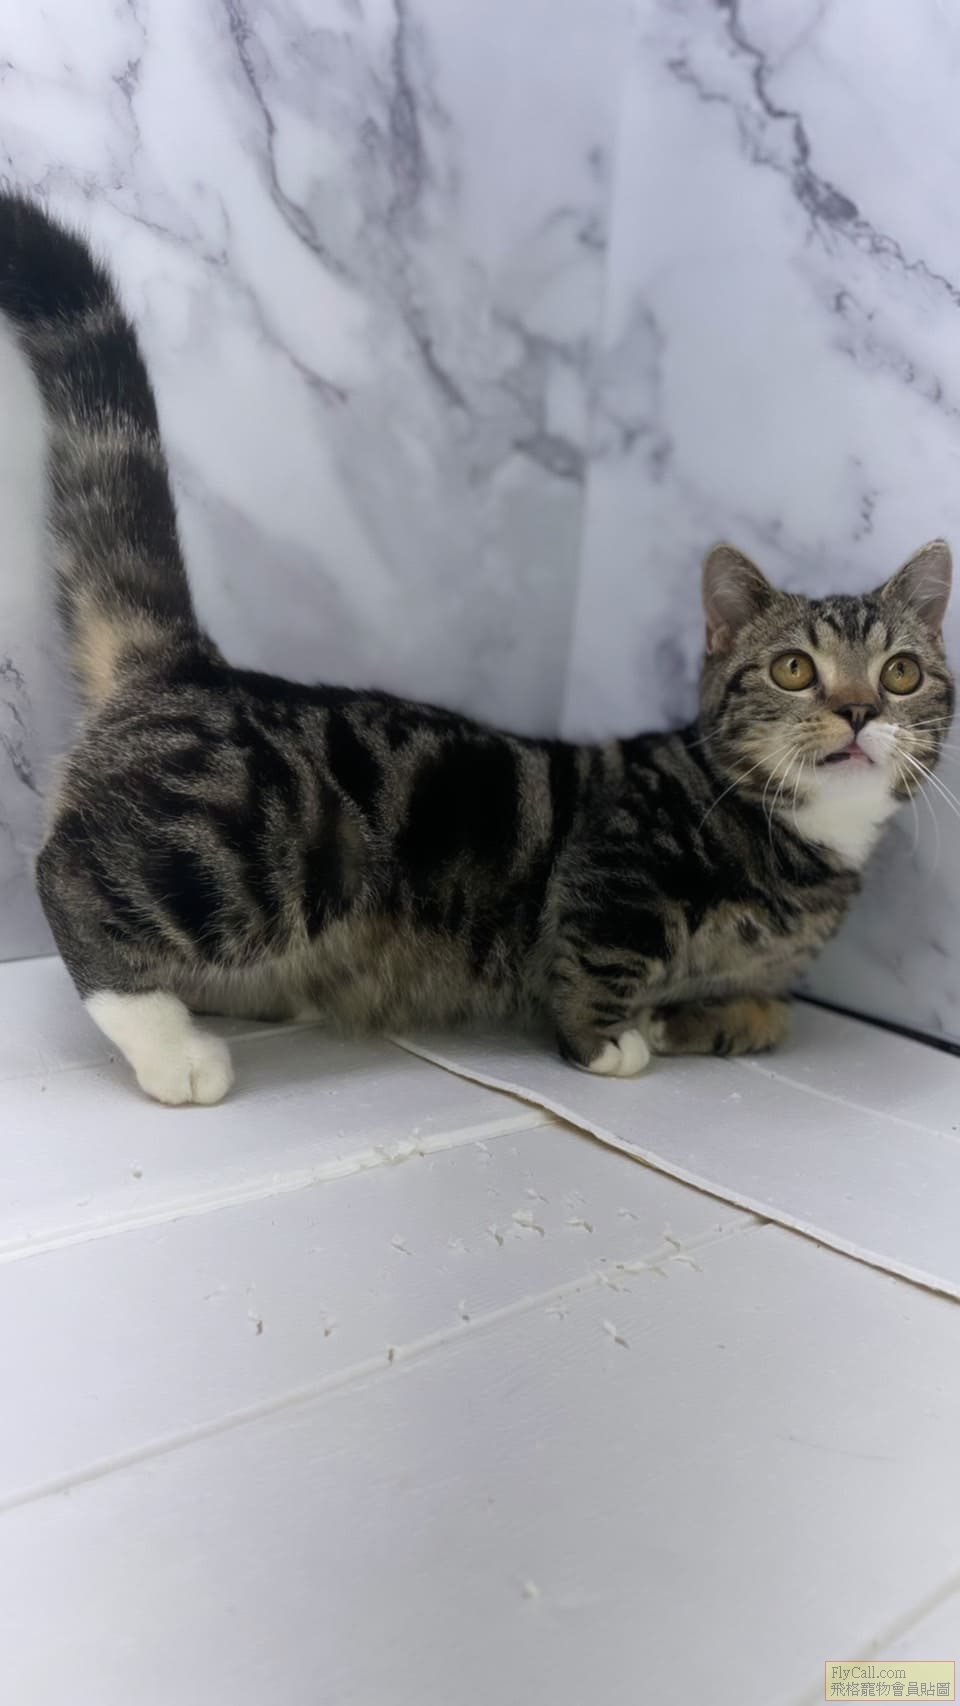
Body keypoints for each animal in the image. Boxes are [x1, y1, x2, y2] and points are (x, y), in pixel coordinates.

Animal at [4, 194, 952, 1105]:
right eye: (794, 669)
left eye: (902, 673)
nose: (859, 709)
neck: (806, 843)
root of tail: (190, 666)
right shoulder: (615, 875)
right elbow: (599, 957)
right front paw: (606, 1041)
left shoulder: (762, 974)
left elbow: (768, 1015)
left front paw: (701, 1019)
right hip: (262, 850)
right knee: (71, 879)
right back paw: (170, 1045)